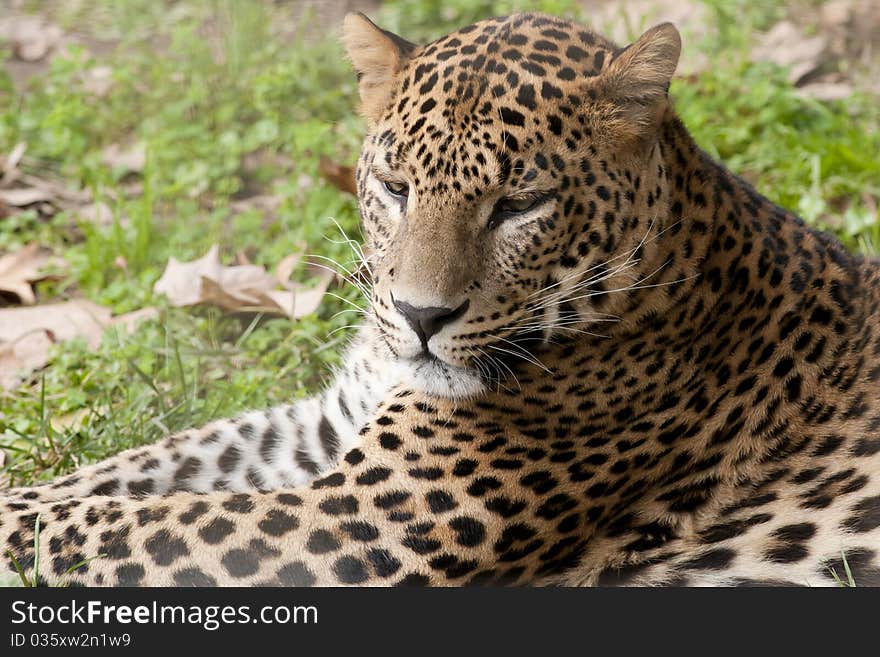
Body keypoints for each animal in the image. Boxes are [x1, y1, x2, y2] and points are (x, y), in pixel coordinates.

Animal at [1, 11, 880, 584]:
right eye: (396, 188)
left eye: (520, 205)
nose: (422, 317)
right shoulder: (319, 430)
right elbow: (129, 475)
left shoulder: (354, 522)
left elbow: (116, 520)